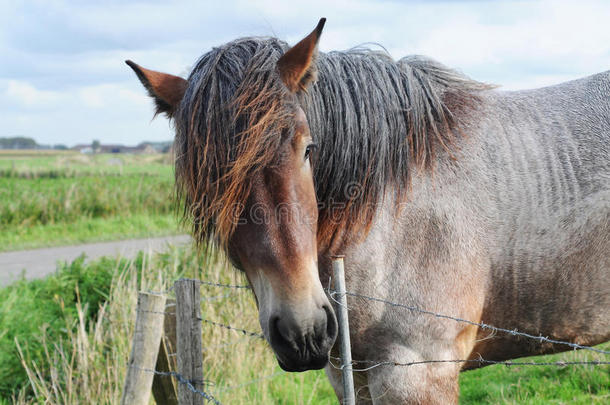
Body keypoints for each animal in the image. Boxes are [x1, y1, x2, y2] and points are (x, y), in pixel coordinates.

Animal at [126, 18, 604, 400]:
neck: (391, 209)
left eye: (308, 149)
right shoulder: (351, 375)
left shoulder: (416, 374)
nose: (303, 332)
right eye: (207, 180)